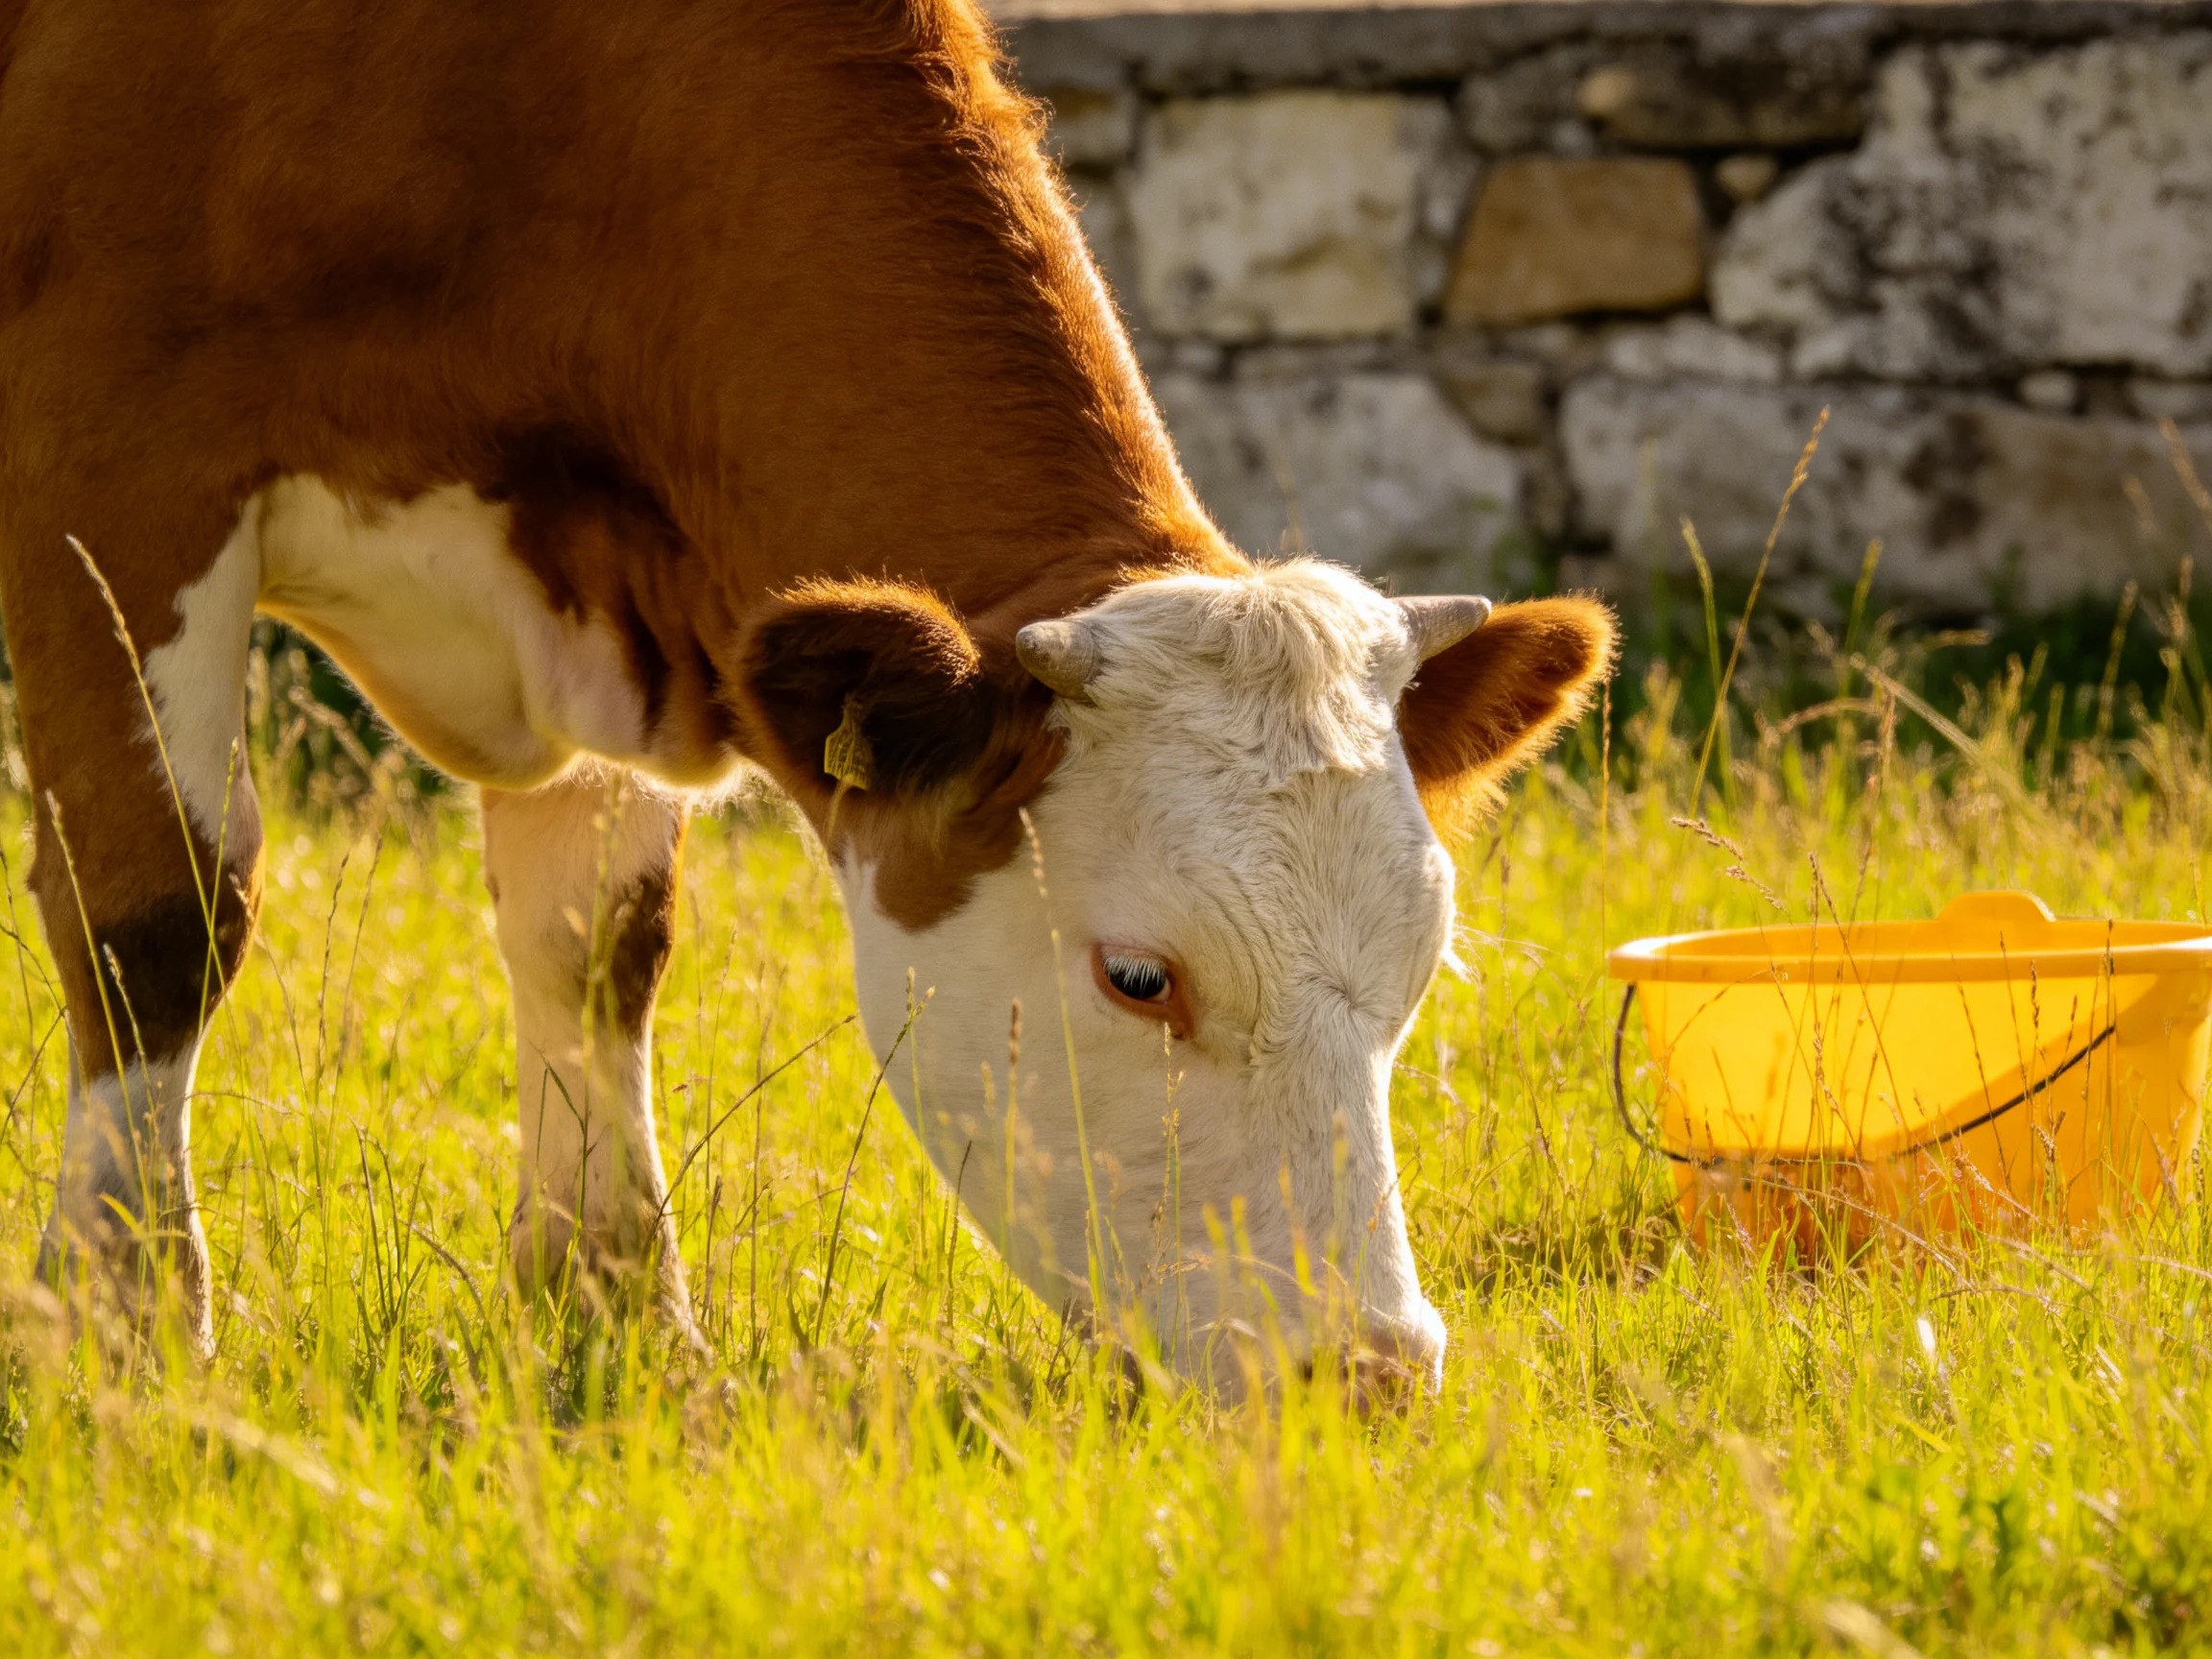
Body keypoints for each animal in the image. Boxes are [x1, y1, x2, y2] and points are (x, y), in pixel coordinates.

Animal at [0, 0, 1611, 1392]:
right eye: (1139, 977)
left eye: (1418, 968)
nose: (1372, 1370)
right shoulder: (111, 455)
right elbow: (162, 913)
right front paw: (124, 1333)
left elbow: (599, 941)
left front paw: (617, 1313)